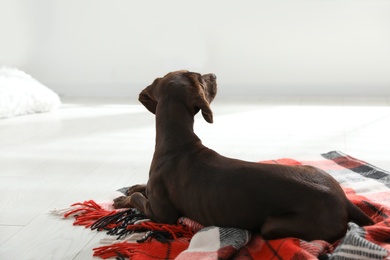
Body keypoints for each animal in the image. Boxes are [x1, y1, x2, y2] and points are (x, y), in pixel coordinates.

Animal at [114, 70, 374, 242]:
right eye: (197, 77)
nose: (214, 75)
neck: (177, 142)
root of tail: (343, 200)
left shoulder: (162, 215)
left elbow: (137, 199)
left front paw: (122, 200)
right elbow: (141, 187)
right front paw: (133, 187)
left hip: (273, 224)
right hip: (313, 169)